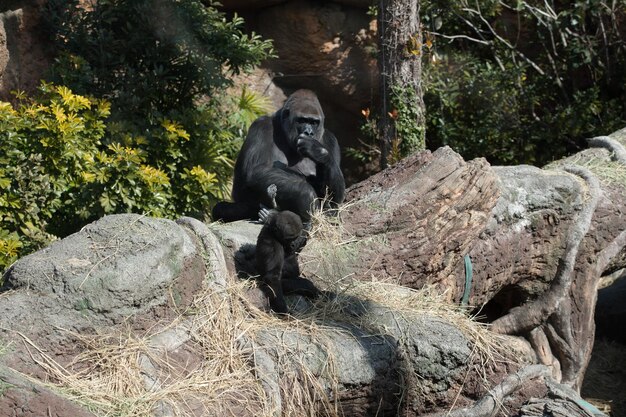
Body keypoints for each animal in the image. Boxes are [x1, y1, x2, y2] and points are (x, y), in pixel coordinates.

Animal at [212, 89, 344, 223]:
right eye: (302, 120)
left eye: (314, 122)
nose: (309, 132)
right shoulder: (261, 125)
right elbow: (256, 169)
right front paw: (307, 195)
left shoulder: (330, 139)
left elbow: (334, 198)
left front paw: (319, 153)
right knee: (220, 208)